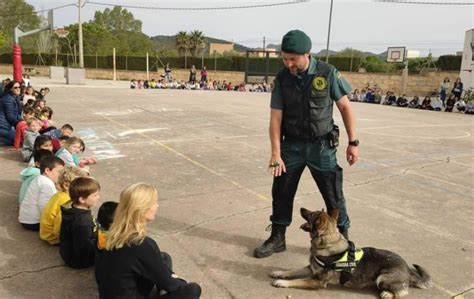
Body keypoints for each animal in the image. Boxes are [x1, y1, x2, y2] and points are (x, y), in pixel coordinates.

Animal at [268, 210, 432, 298]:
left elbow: (298, 280)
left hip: (382, 277)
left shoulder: (317, 281)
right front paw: (279, 273)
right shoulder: (311, 268)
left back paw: (387, 294)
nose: (301, 208)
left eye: (311, 214)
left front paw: (281, 282)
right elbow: (293, 271)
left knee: (402, 293)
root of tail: (408, 269)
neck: (328, 243)